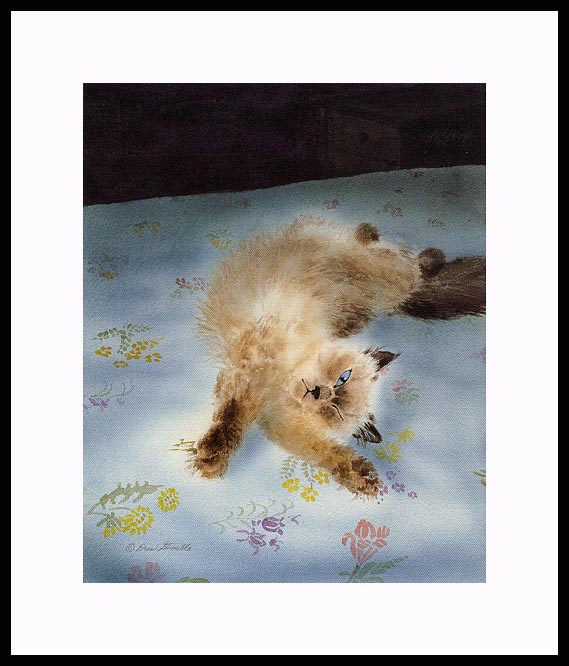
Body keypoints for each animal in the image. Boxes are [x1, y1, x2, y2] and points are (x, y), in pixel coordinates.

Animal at [192, 217, 485, 496]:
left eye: (335, 410)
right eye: (343, 377)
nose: (320, 392)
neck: (282, 382)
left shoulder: (277, 418)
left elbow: (322, 450)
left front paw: (361, 478)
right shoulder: (251, 369)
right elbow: (232, 416)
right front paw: (211, 458)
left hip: (388, 290)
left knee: (413, 267)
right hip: (381, 274)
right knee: (400, 258)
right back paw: (383, 238)